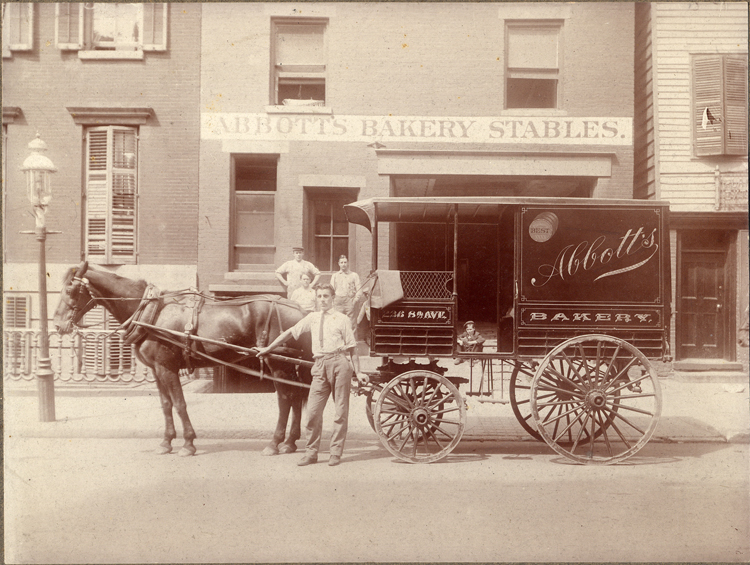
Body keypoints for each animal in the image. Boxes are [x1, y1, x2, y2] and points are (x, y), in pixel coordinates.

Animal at [53, 261, 313, 457]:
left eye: (71, 291)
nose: (57, 325)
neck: (151, 313)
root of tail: (299, 308)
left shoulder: (167, 368)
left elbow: (179, 404)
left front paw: (188, 443)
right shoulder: (157, 370)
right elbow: (166, 405)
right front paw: (166, 442)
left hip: (277, 363)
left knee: (285, 399)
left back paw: (275, 443)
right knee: (296, 397)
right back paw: (290, 442)